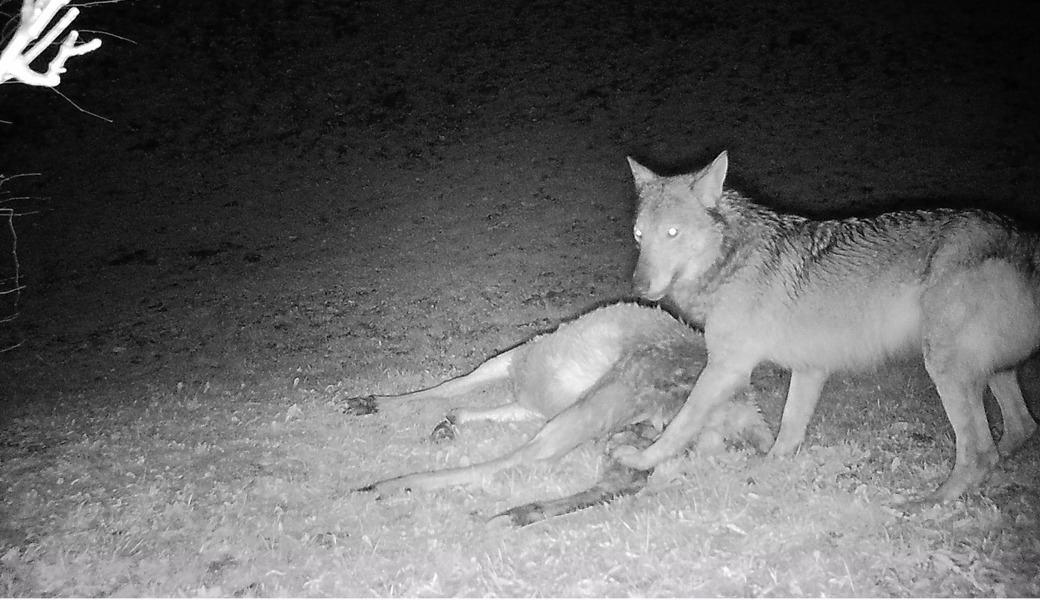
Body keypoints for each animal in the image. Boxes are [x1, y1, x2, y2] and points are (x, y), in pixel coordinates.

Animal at [349, 302, 774, 510]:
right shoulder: (529, 397)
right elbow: (463, 397)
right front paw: (442, 423)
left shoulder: (517, 359)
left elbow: (456, 384)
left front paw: (376, 404)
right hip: (637, 429)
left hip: (618, 389)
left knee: (529, 455)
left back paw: (388, 484)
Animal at [613, 150, 1040, 503]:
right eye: (639, 236)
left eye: (673, 233)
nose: (637, 287)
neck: (732, 260)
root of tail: (1023, 238)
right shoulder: (810, 368)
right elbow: (788, 431)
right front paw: (769, 468)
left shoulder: (726, 367)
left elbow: (682, 423)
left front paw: (642, 459)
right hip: (991, 370)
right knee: (1020, 428)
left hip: (945, 368)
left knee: (981, 453)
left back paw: (928, 504)